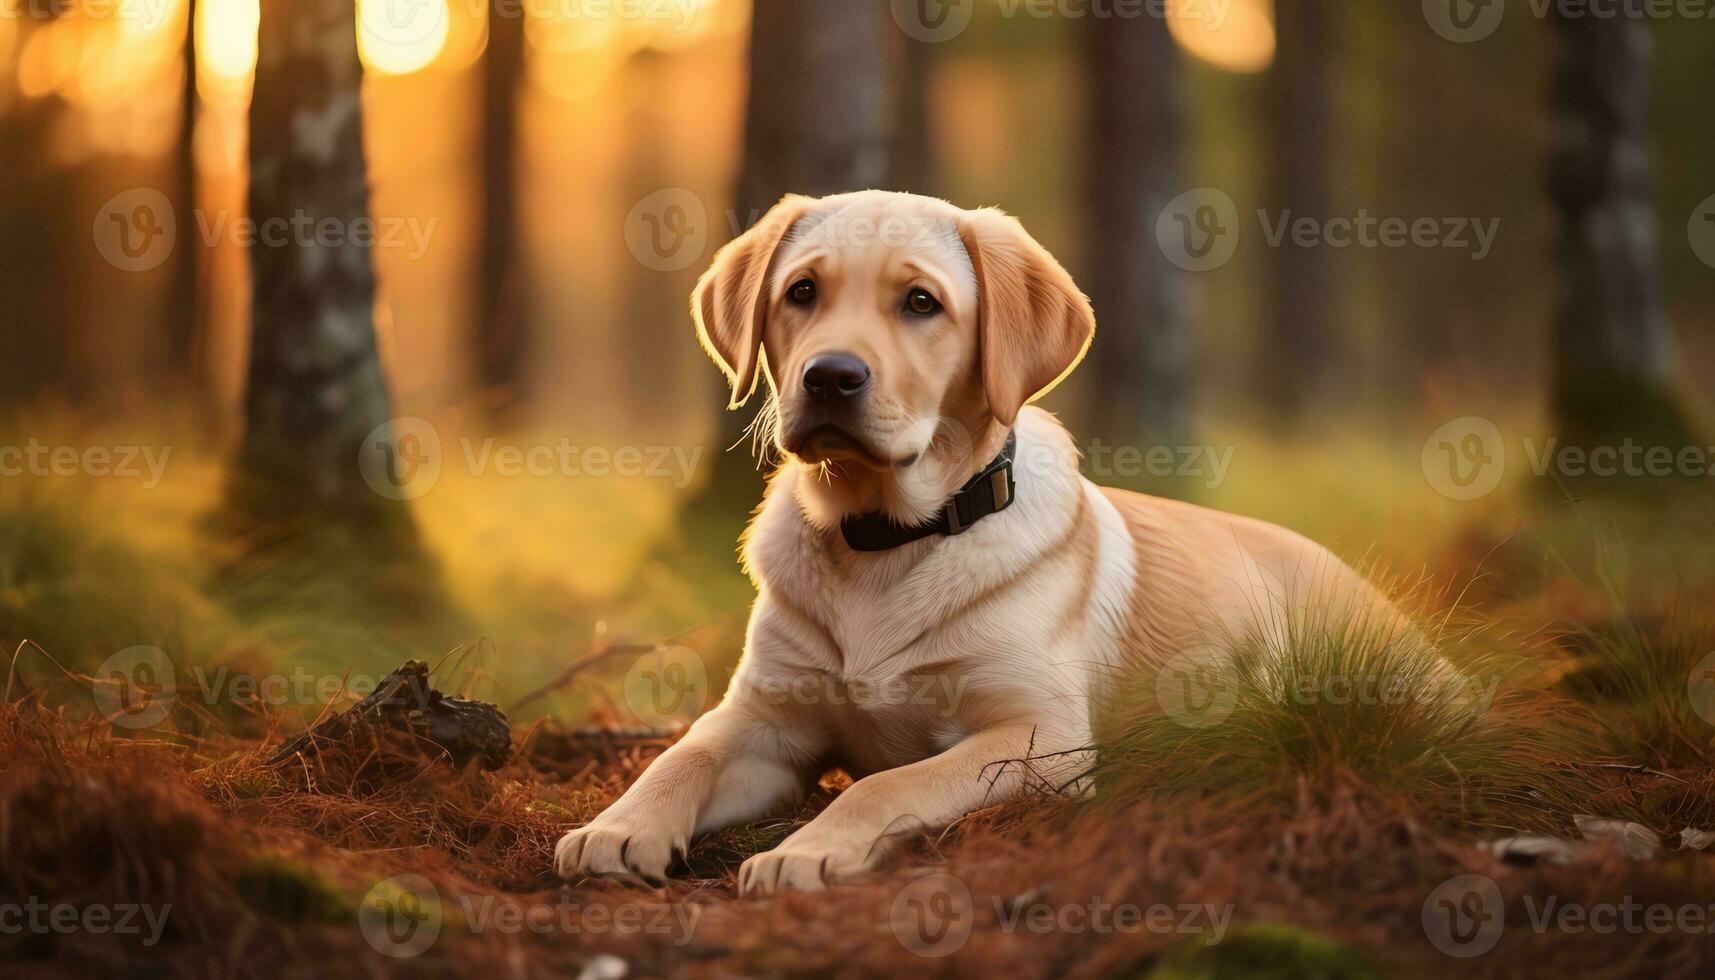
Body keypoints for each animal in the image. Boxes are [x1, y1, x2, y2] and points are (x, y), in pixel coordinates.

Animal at [555, 189, 1399, 899]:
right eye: (800, 292)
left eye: (920, 302)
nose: (829, 377)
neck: (884, 540)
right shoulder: (767, 720)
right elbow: (685, 749)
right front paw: (618, 826)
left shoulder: (1042, 737)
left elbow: (888, 782)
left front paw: (808, 849)